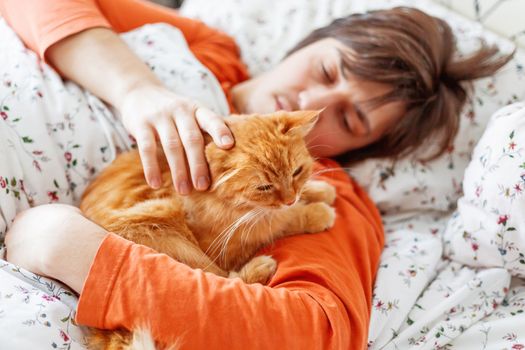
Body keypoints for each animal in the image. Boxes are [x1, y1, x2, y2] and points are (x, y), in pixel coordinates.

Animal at [81, 110, 336, 350]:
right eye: (264, 187)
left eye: (297, 172)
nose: (290, 199)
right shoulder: (232, 241)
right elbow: (281, 221)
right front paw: (317, 212)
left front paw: (320, 190)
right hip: (162, 225)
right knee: (222, 281)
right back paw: (261, 266)